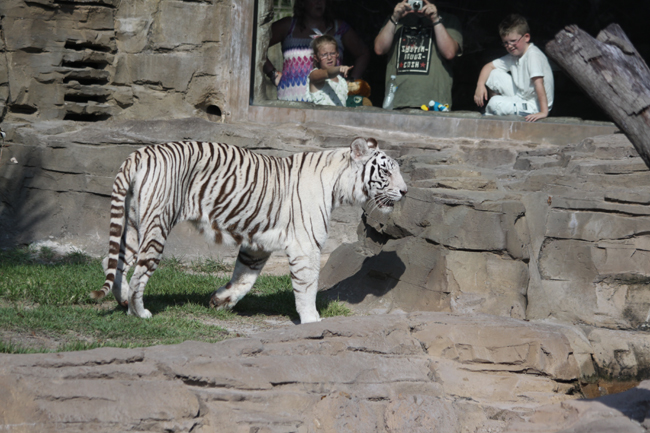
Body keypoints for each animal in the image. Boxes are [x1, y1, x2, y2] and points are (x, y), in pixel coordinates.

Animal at [91, 137, 404, 322]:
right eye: (386, 171)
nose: (405, 190)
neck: (339, 185)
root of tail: (139, 153)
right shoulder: (306, 245)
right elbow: (307, 285)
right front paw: (312, 320)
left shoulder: (258, 244)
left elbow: (245, 278)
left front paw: (220, 301)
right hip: (157, 224)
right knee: (139, 274)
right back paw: (139, 311)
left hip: (132, 225)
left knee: (115, 263)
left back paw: (121, 301)